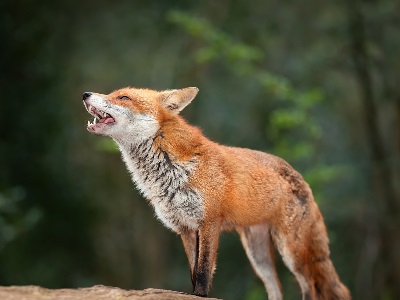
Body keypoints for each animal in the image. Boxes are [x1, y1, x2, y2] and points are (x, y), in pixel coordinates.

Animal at [82, 85, 350, 298]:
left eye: (124, 97)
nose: (85, 94)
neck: (171, 169)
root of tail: (302, 179)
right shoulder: (185, 228)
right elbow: (193, 270)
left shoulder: (210, 222)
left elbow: (203, 272)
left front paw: (200, 295)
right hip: (258, 256)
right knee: (276, 289)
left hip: (292, 253)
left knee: (310, 287)